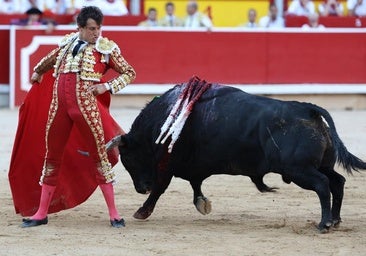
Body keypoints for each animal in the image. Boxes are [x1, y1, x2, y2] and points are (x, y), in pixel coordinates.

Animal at [115, 79, 366, 232]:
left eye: (128, 159)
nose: (141, 188)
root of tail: (308, 109)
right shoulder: (192, 167)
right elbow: (195, 184)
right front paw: (202, 204)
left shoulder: (165, 166)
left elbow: (160, 188)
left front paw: (142, 211)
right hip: (320, 166)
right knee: (337, 182)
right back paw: (335, 220)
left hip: (299, 170)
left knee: (323, 185)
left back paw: (324, 224)